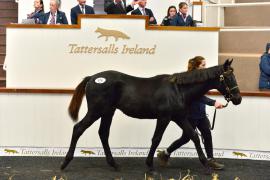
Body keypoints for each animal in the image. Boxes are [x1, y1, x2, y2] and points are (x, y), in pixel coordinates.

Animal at [61, 59, 243, 172]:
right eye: (228, 77)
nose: (238, 99)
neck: (178, 90)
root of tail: (93, 78)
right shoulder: (164, 117)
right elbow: (156, 139)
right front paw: (149, 165)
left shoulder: (179, 117)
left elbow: (194, 136)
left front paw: (206, 163)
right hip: (96, 111)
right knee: (78, 128)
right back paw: (65, 162)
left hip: (108, 112)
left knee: (103, 133)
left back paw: (114, 164)